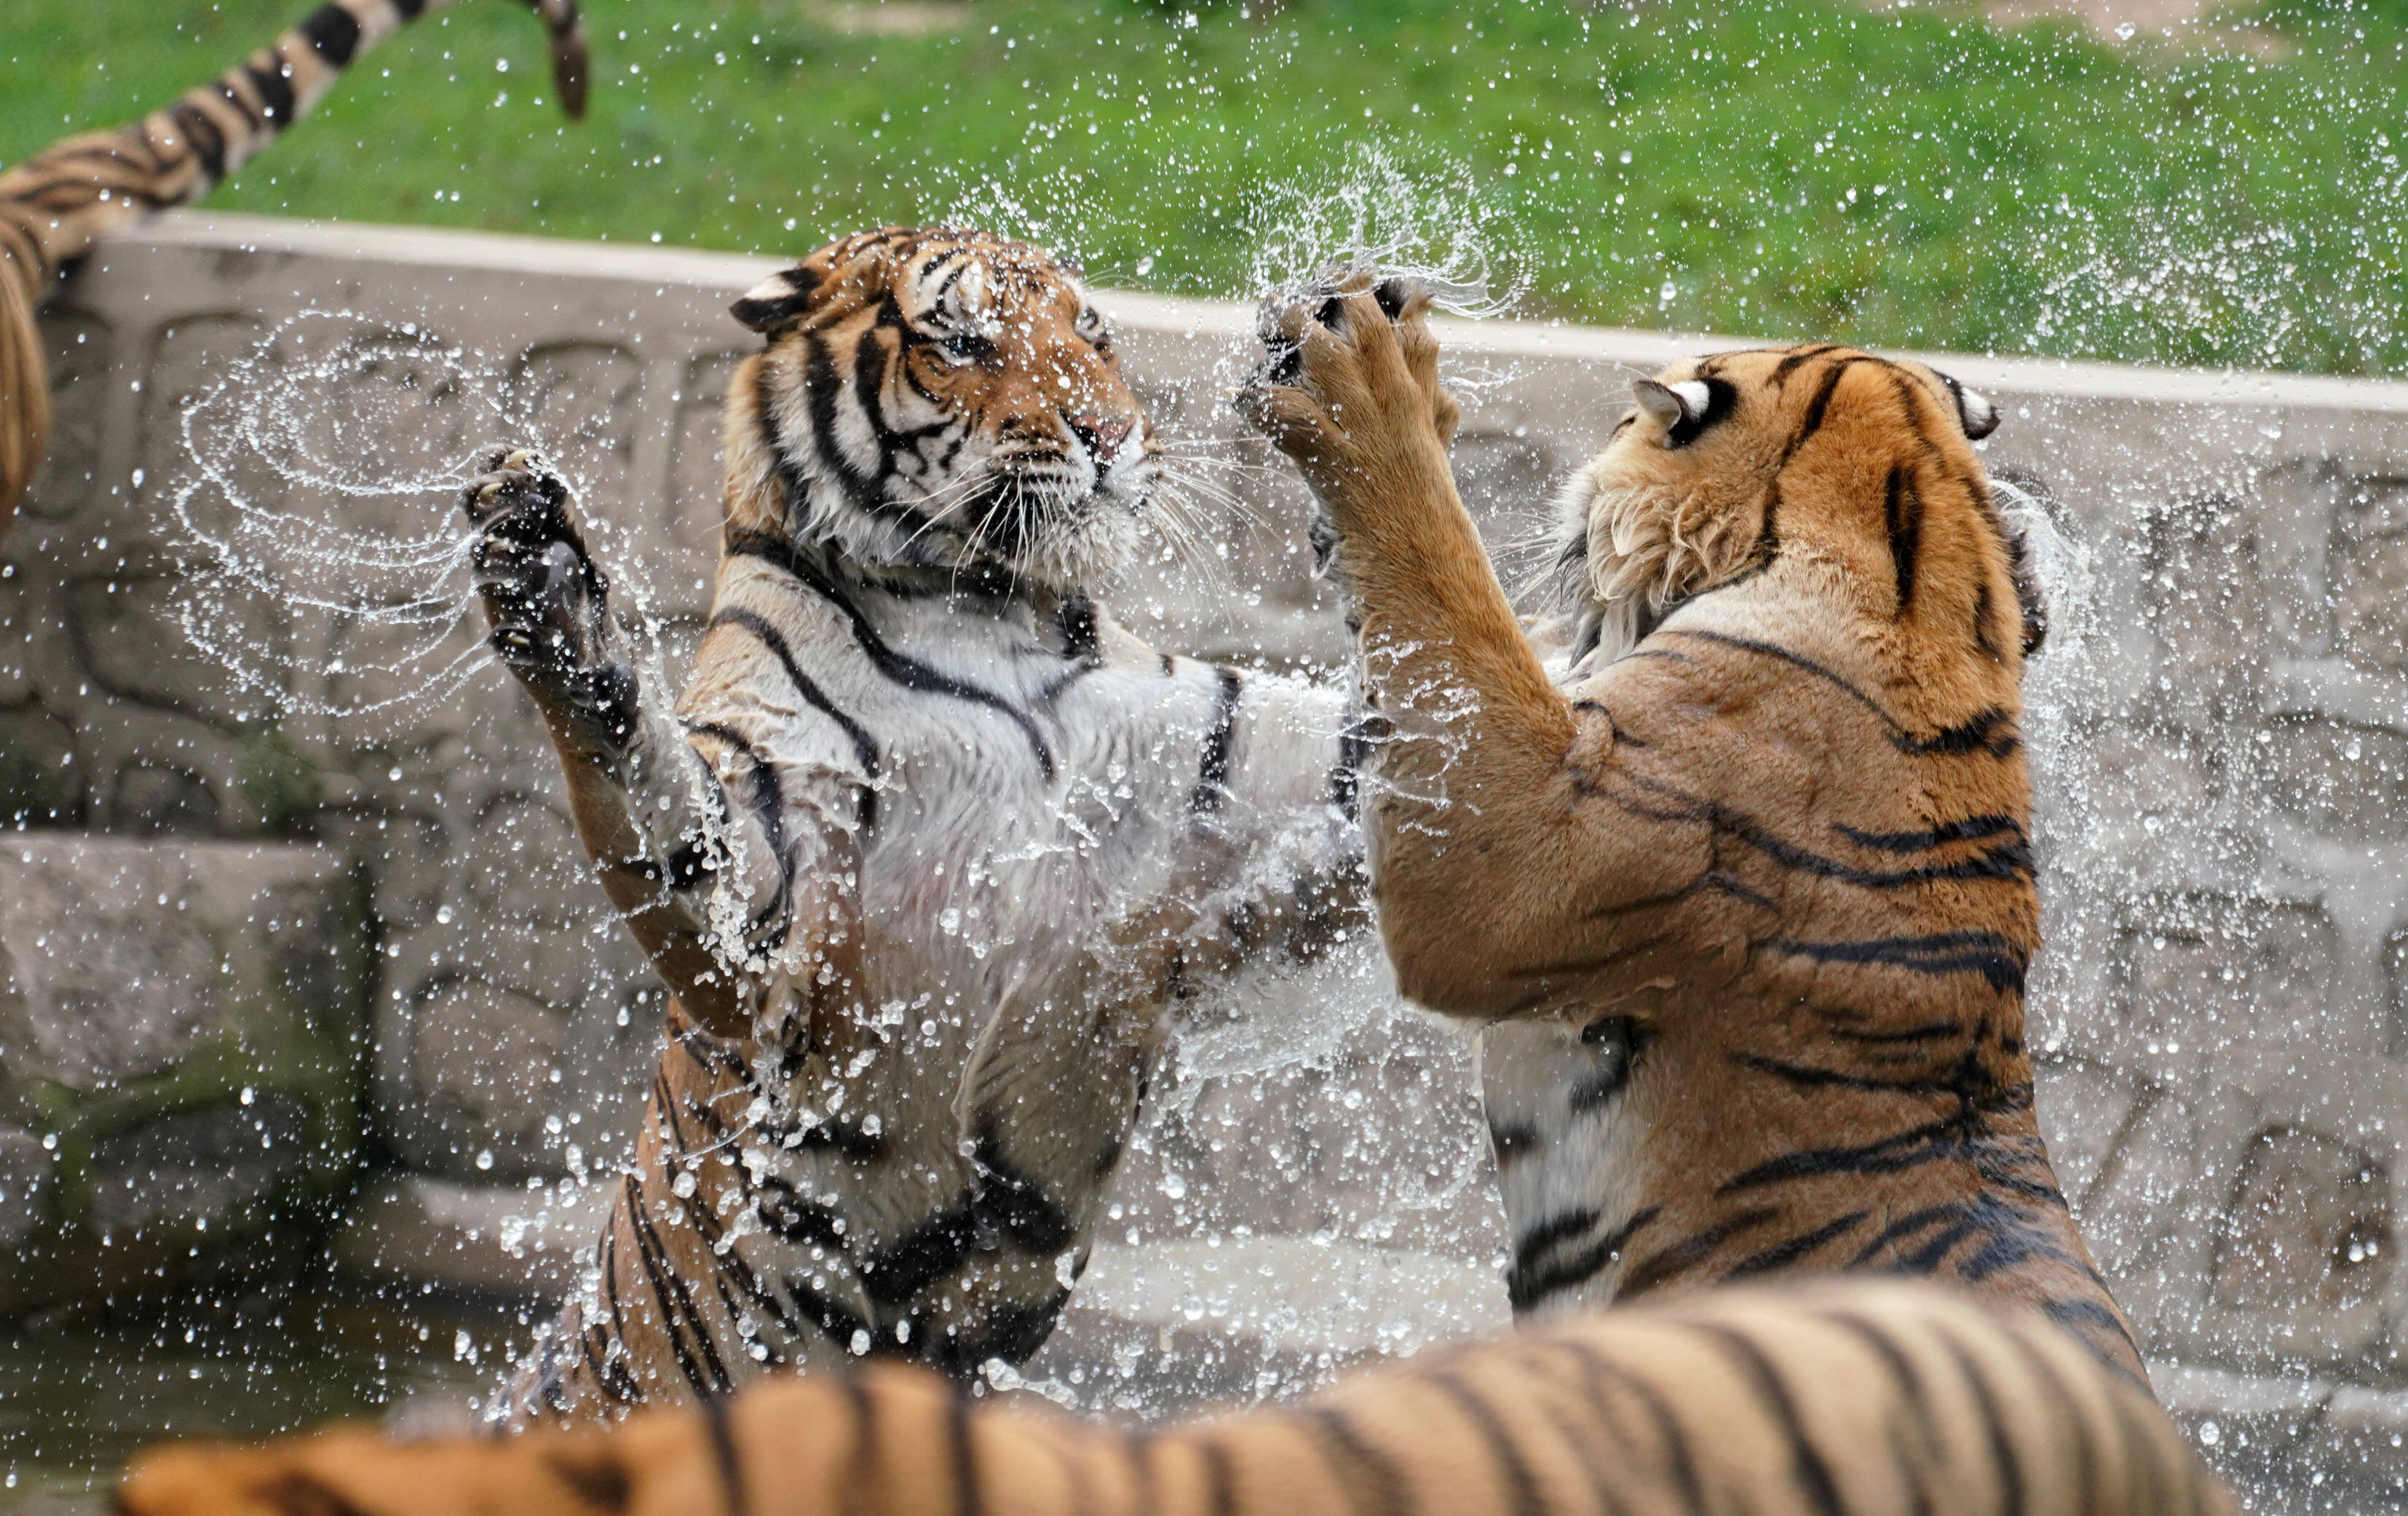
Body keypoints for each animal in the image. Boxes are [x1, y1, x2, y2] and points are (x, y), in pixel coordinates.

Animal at [459, 226, 1367, 1424]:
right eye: (963, 342)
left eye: (1091, 332)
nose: (1111, 434)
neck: (980, 605)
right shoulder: (772, 901)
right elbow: (659, 797)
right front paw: (549, 575)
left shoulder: (1222, 760)